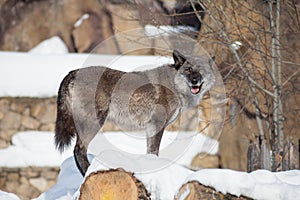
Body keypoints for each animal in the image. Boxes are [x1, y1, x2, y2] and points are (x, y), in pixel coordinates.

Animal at [54, 50, 216, 175]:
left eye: (201, 71)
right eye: (188, 70)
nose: (194, 80)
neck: (174, 85)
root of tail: (72, 72)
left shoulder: (150, 127)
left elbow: (150, 151)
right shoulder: (157, 124)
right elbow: (154, 151)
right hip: (95, 122)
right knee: (79, 150)